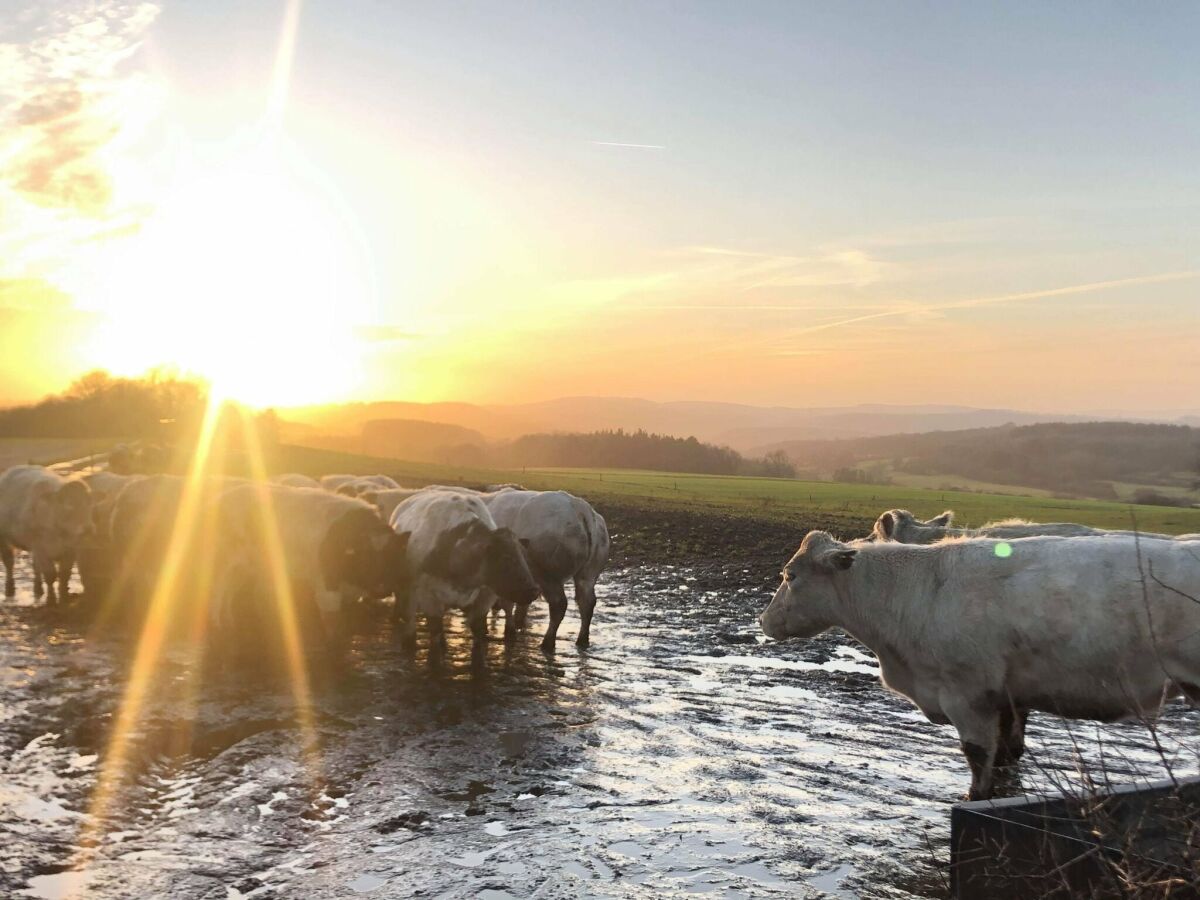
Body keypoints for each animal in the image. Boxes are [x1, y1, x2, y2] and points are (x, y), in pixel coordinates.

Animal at [0, 465, 92, 607]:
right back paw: (10, 590)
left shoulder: (70, 550)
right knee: (9, 562)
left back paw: (38, 589)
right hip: (5, 539)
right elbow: (50, 575)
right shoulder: (41, 548)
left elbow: (64, 574)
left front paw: (64, 597)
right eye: (69, 505)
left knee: (35, 566)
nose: (88, 529)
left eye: (89, 503)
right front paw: (51, 599)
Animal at [388, 494, 540, 662]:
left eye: (523, 555)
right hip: (406, 590)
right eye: (505, 557)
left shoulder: (486, 597)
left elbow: (478, 633)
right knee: (409, 615)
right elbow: (434, 633)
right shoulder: (427, 597)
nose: (533, 591)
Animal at [480, 489, 609, 652]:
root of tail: (579, 506)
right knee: (587, 603)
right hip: (588, 574)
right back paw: (582, 640)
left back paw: (547, 642)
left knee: (559, 604)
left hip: (547, 575)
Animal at [763, 532, 1200, 801]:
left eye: (790, 575)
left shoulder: (967, 694)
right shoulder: (1006, 696)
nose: (763, 620)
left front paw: (974, 796)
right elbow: (1007, 749)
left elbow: (977, 753)